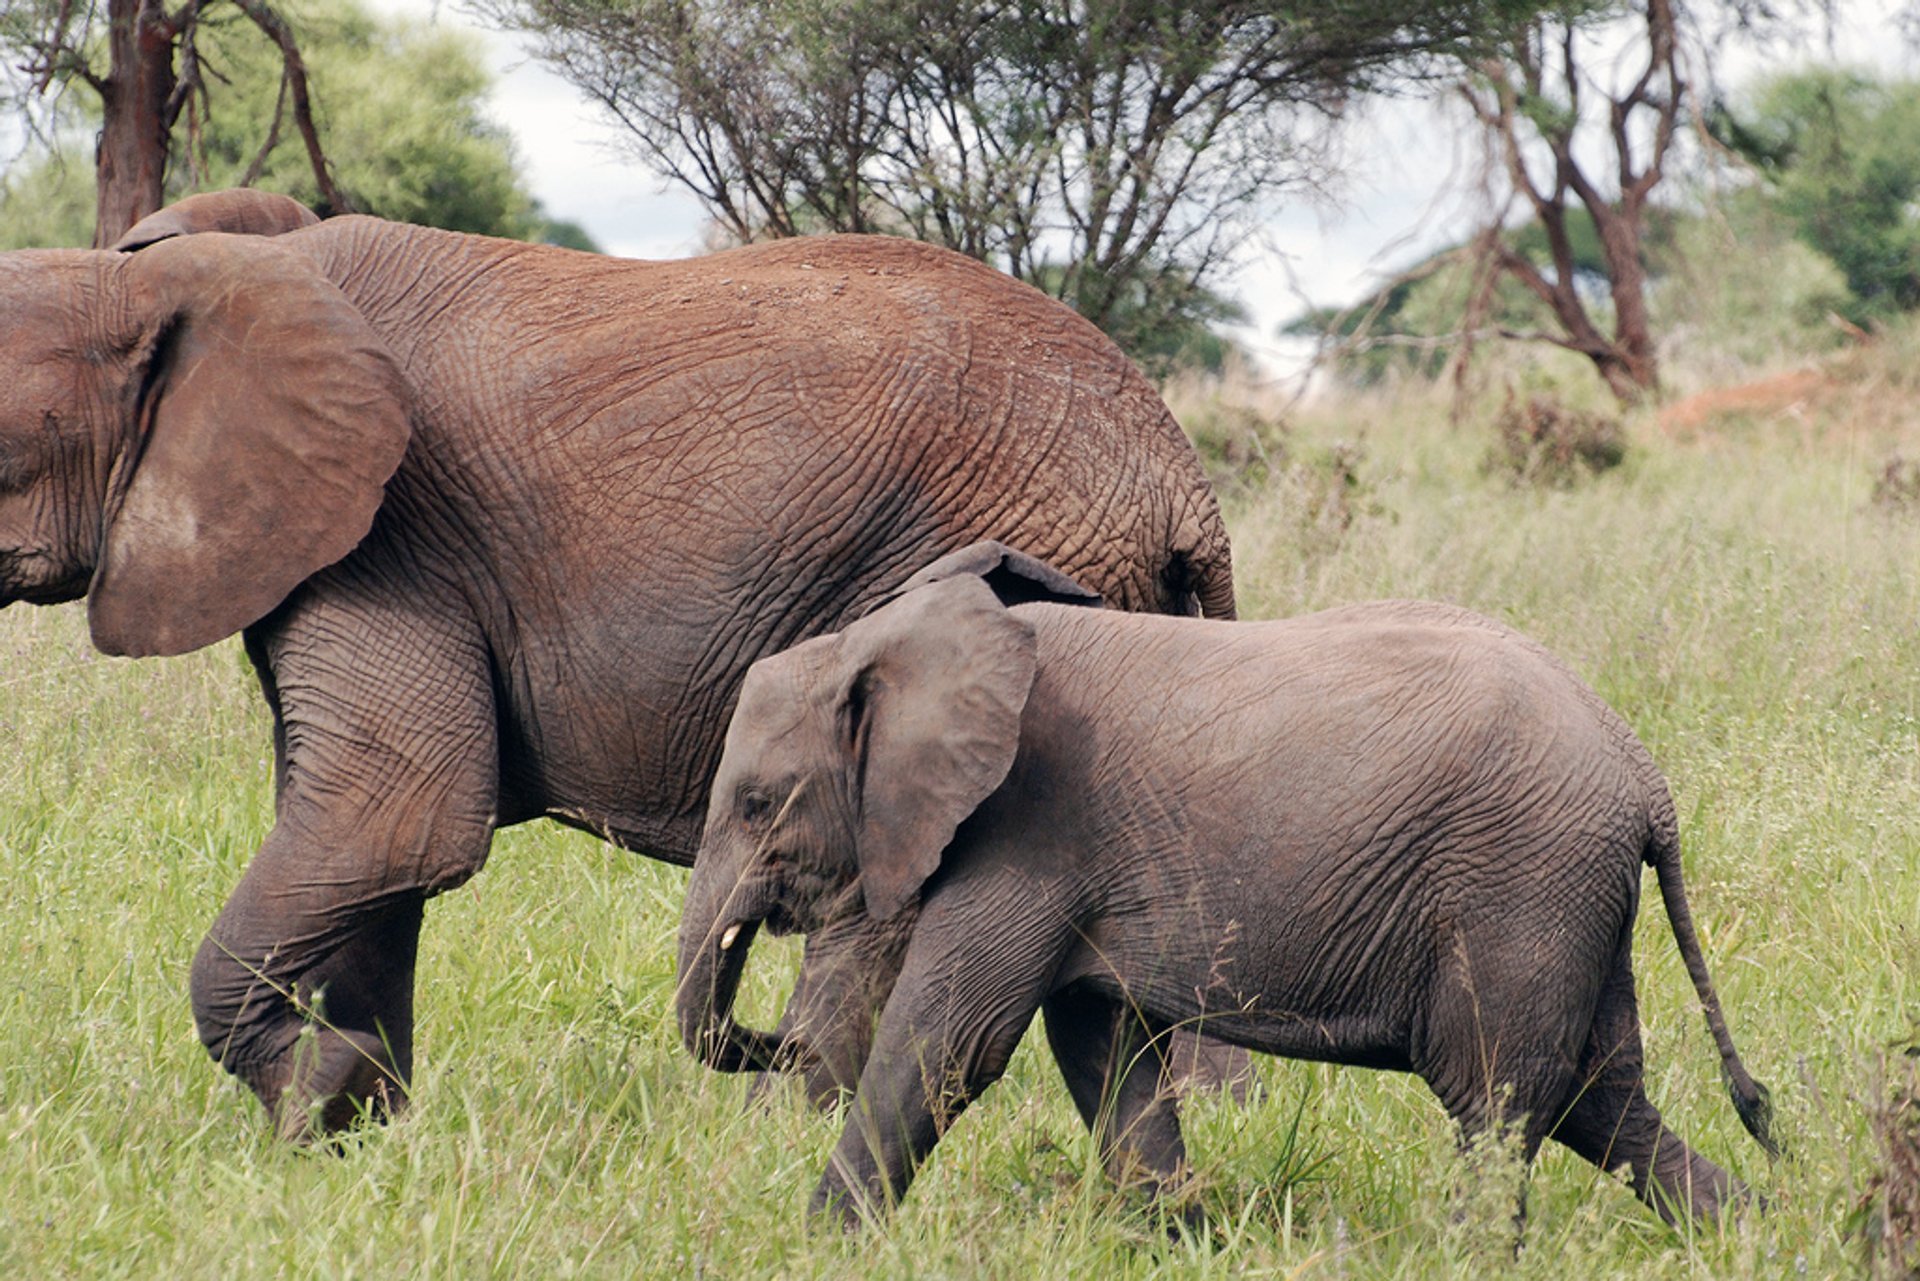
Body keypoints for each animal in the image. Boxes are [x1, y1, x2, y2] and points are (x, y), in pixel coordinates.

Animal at [0, 188, 1228, 1129]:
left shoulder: (391, 533)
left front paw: (313, 1098)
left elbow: (400, 815)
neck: (189, 276)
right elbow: (363, 842)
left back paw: (766, 1141)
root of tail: (1184, 484)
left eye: (2, 453)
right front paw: (360, 1132)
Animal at [672, 545, 1766, 1229]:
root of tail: (1646, 779)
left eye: (757, 804)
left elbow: (952, 1043)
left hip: (1522, 888)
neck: (905, 644)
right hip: (1569, 901)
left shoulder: (1026, 831)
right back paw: (1763, 1231)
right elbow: (1103, 1050)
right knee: (1600, 1100)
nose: (774, 1037)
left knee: (1498, 1101)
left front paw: (816, 1244)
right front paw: (1177, 1239)